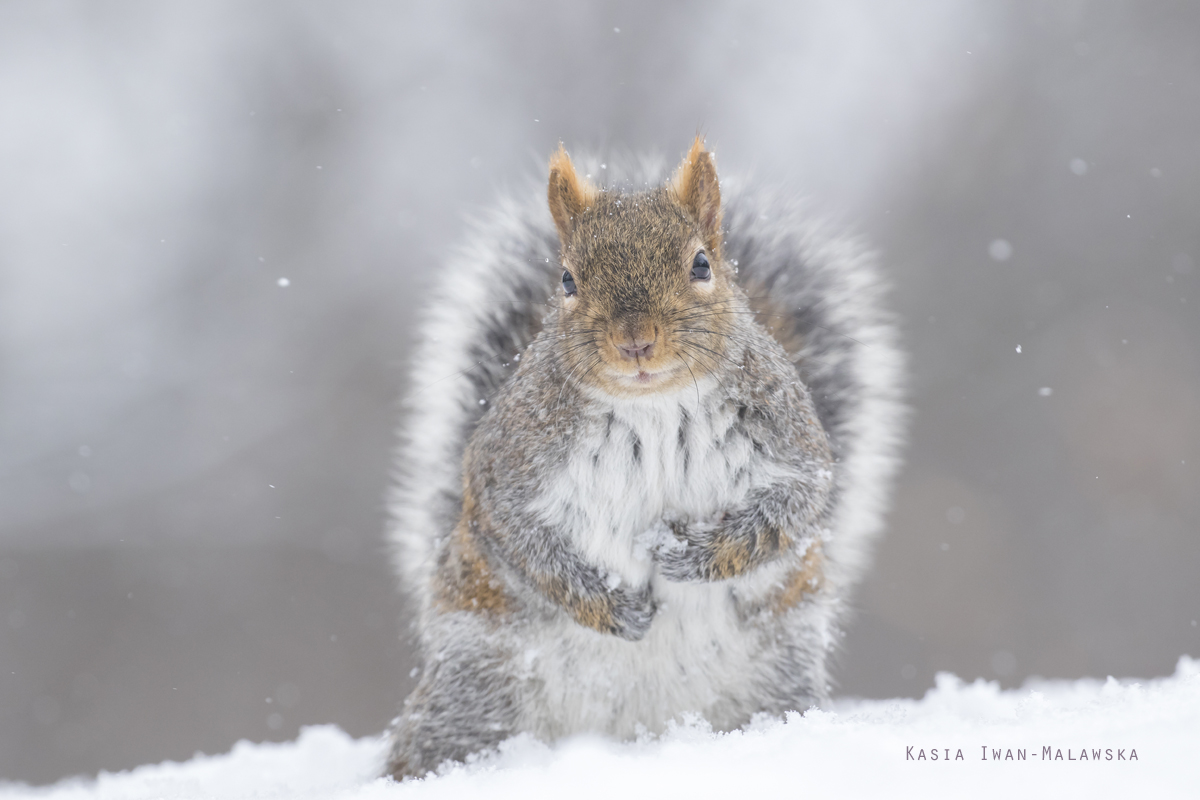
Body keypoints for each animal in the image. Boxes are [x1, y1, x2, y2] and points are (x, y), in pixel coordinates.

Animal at [384, 139, 902, 782]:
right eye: (567, 279)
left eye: (701, 265)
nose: (635, 340)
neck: (652, 405)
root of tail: (635, 732)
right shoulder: (507, 463)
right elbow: (519, 538)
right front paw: (610, 607)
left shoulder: (794, 446)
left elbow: (791, 509)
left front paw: (691, 556)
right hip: (473, 690)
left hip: (778, 683)